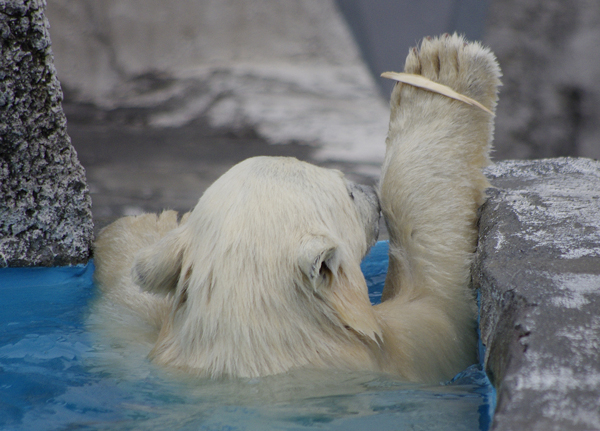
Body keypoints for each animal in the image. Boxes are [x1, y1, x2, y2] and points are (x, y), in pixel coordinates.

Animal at [94, 34, 502, 384]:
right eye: (345, 190)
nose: (368, 192)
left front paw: (142, 233)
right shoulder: (394, 352)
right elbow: (436, 305)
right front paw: (442, 71)